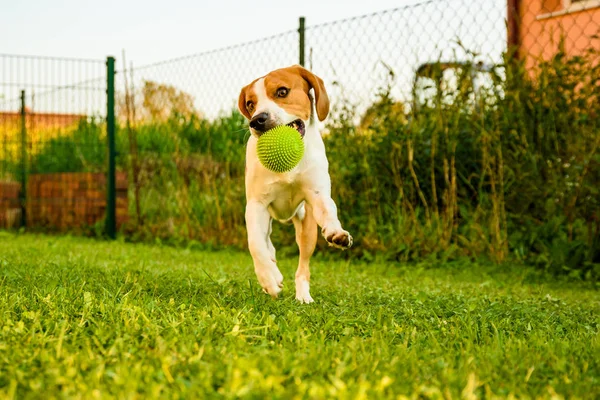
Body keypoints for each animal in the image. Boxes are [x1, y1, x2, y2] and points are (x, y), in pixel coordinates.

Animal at [238, 65, 352, 304]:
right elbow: (255, 244)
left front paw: (337, 232)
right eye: (250, 104)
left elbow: (329, 212)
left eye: (282, 91)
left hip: (306, 229)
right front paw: (269, 278)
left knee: (303, 267)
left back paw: (303, 296)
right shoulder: (255, 205)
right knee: (266, 243)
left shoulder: (318, 195)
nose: (257, 120)